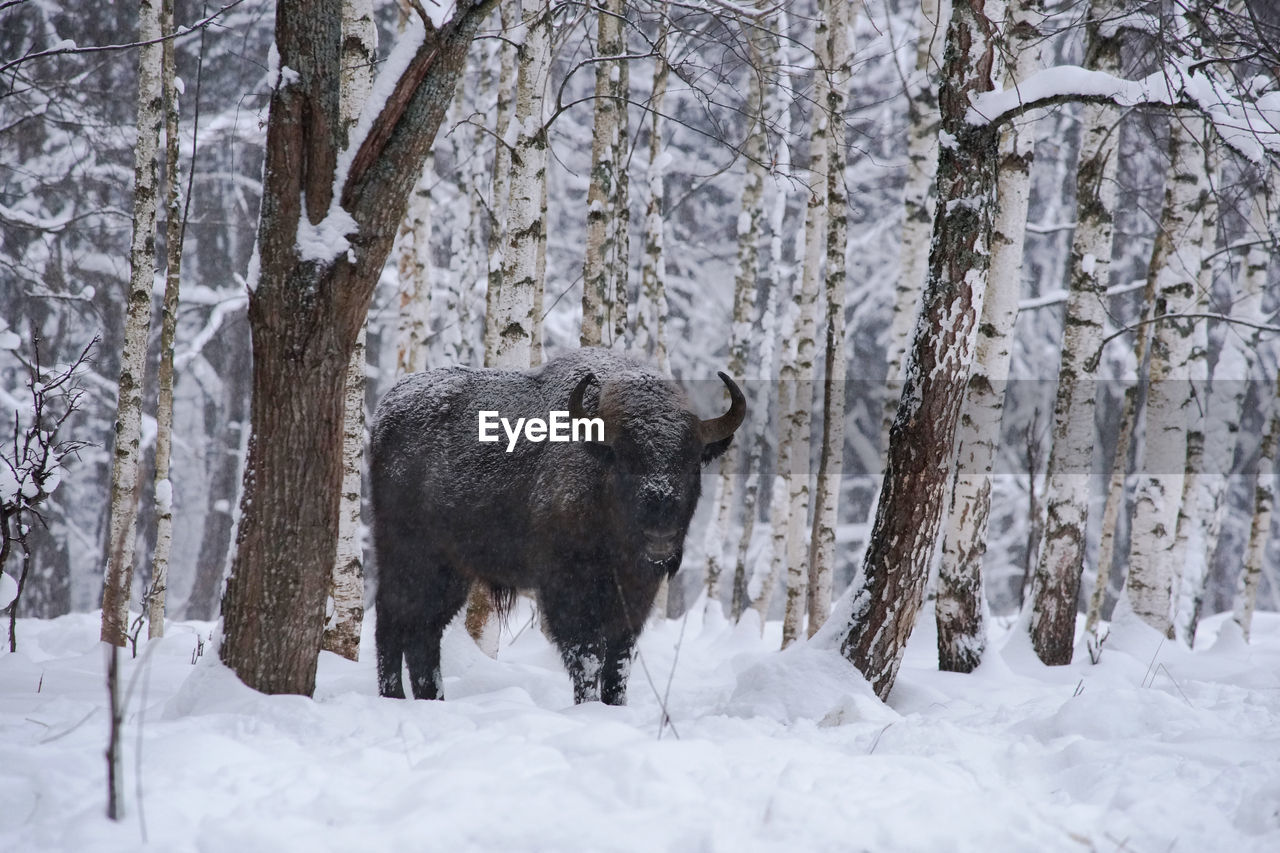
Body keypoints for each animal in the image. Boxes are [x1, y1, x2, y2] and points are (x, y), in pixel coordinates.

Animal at [371, 348, 747, 701]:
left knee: (423, 631)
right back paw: (395, 696)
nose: (660, 539)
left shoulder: (635, 597)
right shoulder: (568, 591)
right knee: (393, 621)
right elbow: (588, 657)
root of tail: (385, 411)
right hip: (407, 557)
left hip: (451, 571)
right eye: (625, 459)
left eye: (692, 462)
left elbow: (619, 663)